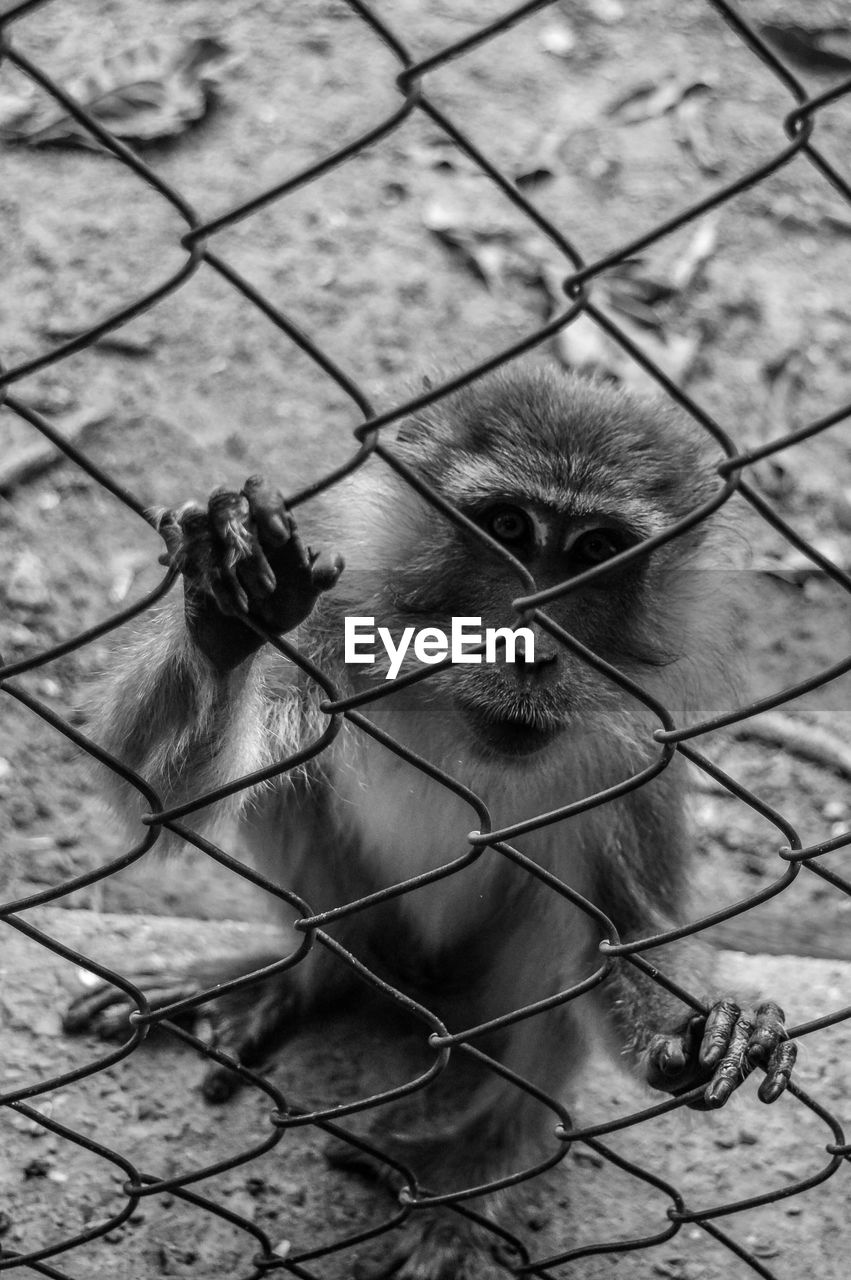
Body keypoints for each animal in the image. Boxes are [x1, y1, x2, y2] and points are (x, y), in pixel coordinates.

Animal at [66, 363, 798, 1280]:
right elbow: (163, 804)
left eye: (597, 551)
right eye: (509, 526)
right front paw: (226, 610)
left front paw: (700, 1037)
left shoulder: (637, 752)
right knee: (300, 804)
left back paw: (482, 1155)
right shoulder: (336, 630)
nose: (528, 642)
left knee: (556, 924)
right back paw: (307, 973)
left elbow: (624, 927)